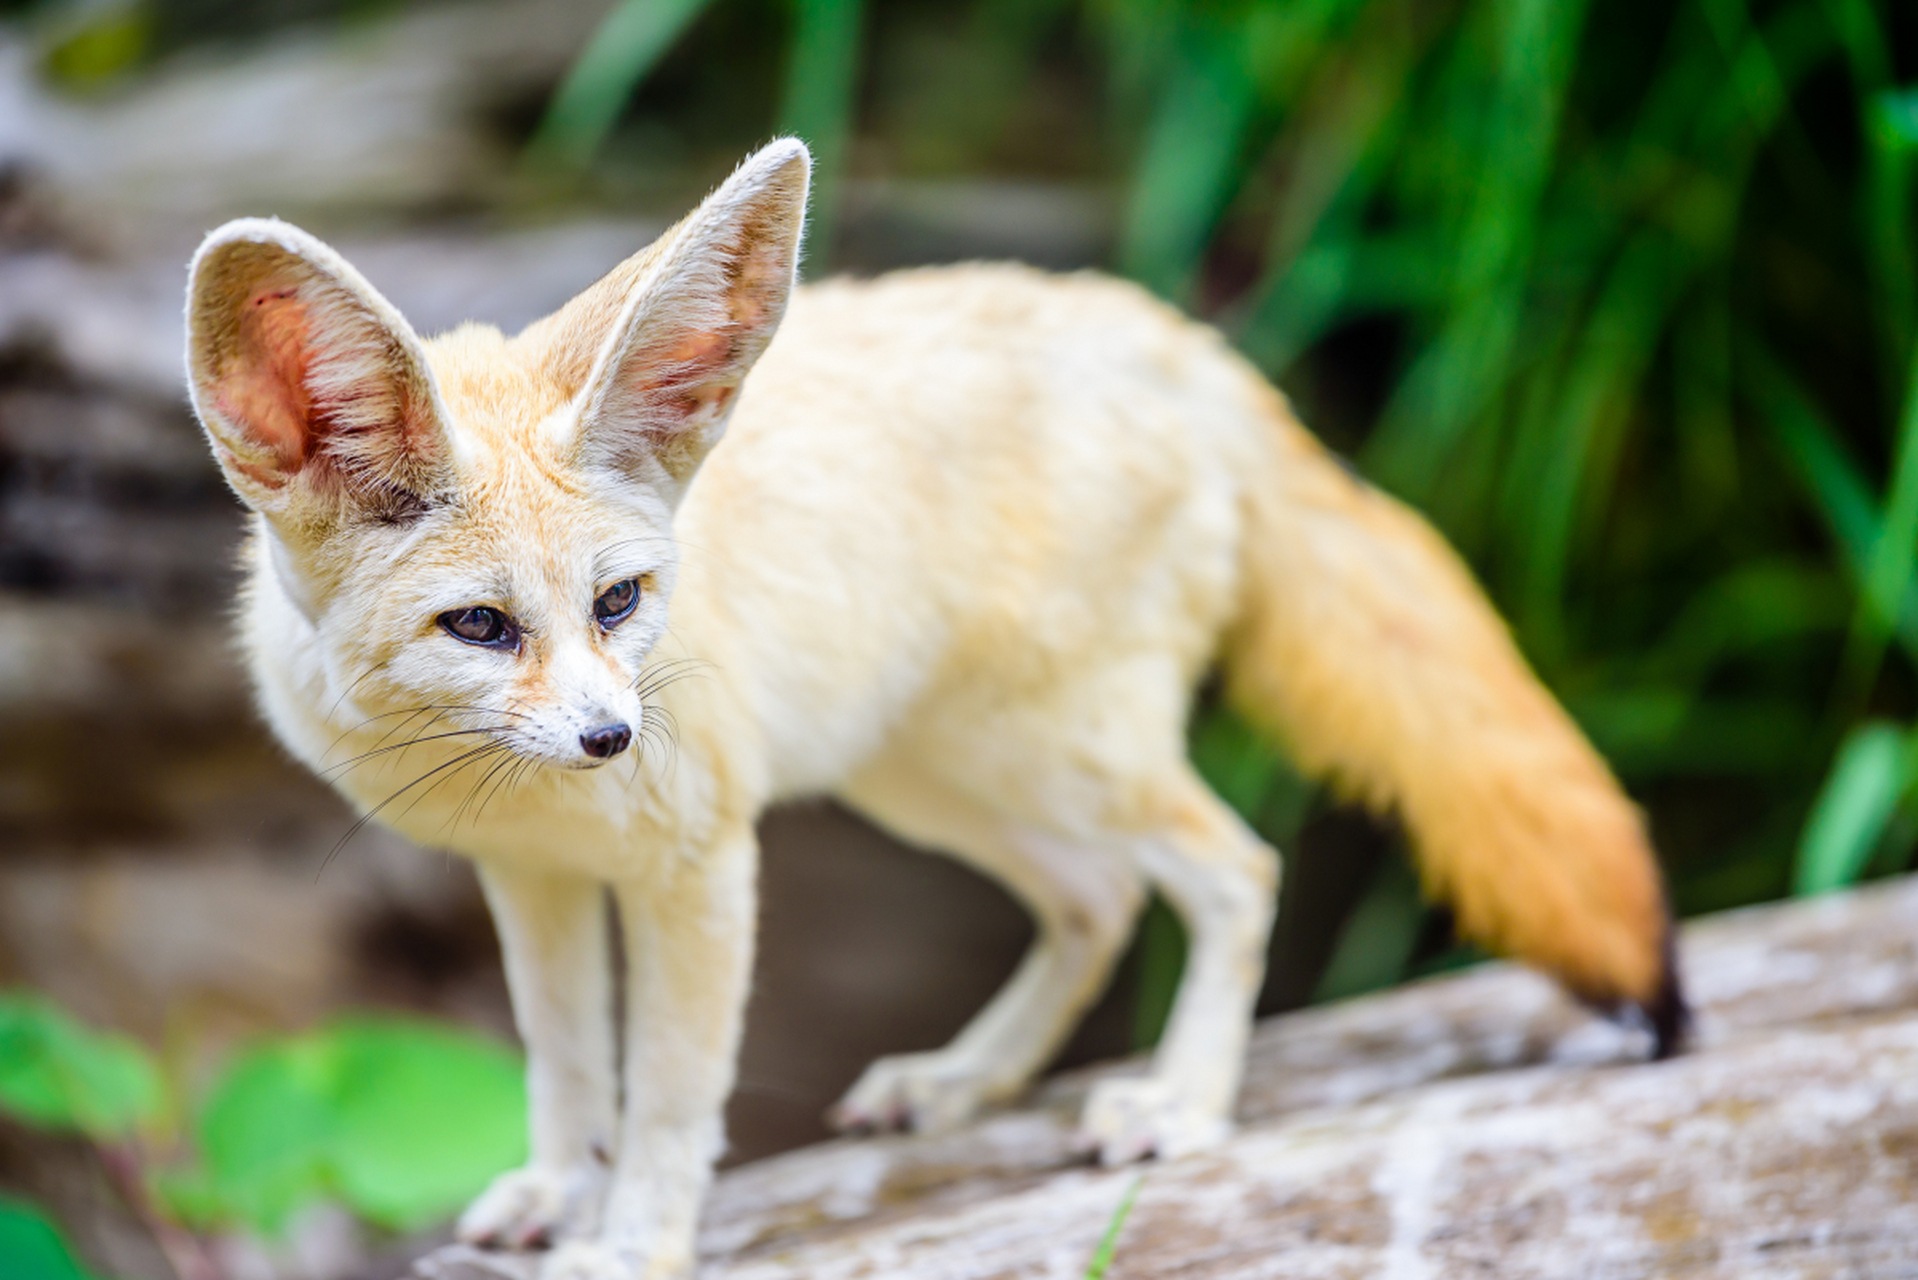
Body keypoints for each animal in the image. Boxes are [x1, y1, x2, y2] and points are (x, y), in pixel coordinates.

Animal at [180, 135, 1680, 1274]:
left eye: (617, 602)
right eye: (480, 627)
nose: (614, 739)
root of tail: (1181, 343)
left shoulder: (698, 866)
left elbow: (669, 1095)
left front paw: (634, 1242)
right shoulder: (531, 874)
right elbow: (563, 1060)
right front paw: (559, 1190)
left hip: (1053, 758)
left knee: (1231, 870)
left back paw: (1181, 1103)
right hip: (931, 776)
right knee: (1097, 900)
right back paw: (963, 1080)